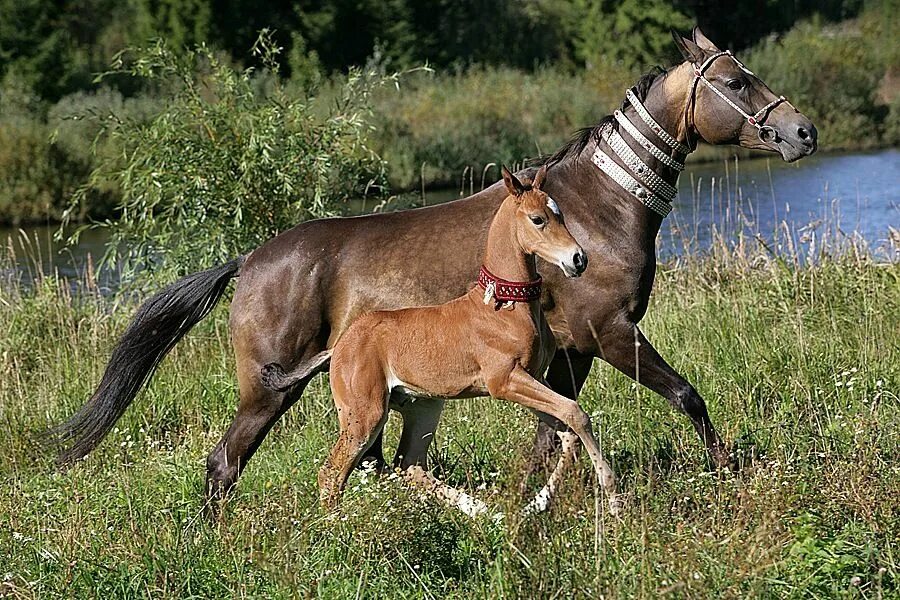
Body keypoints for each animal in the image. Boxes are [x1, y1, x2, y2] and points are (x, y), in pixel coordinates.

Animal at [264, 166, 624, 512]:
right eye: (538, 219)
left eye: (560, 213)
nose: (578, 259)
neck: (503, 306)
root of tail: (339, 346)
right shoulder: (505, 381)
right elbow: (576, 414)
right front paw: (613, 498)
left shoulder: (533, 377)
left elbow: (567, 429)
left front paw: (539, 502)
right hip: (364, 414)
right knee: (333, 472)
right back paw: (338, 522)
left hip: (423, 406)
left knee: (410, 465)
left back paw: (483, 511)